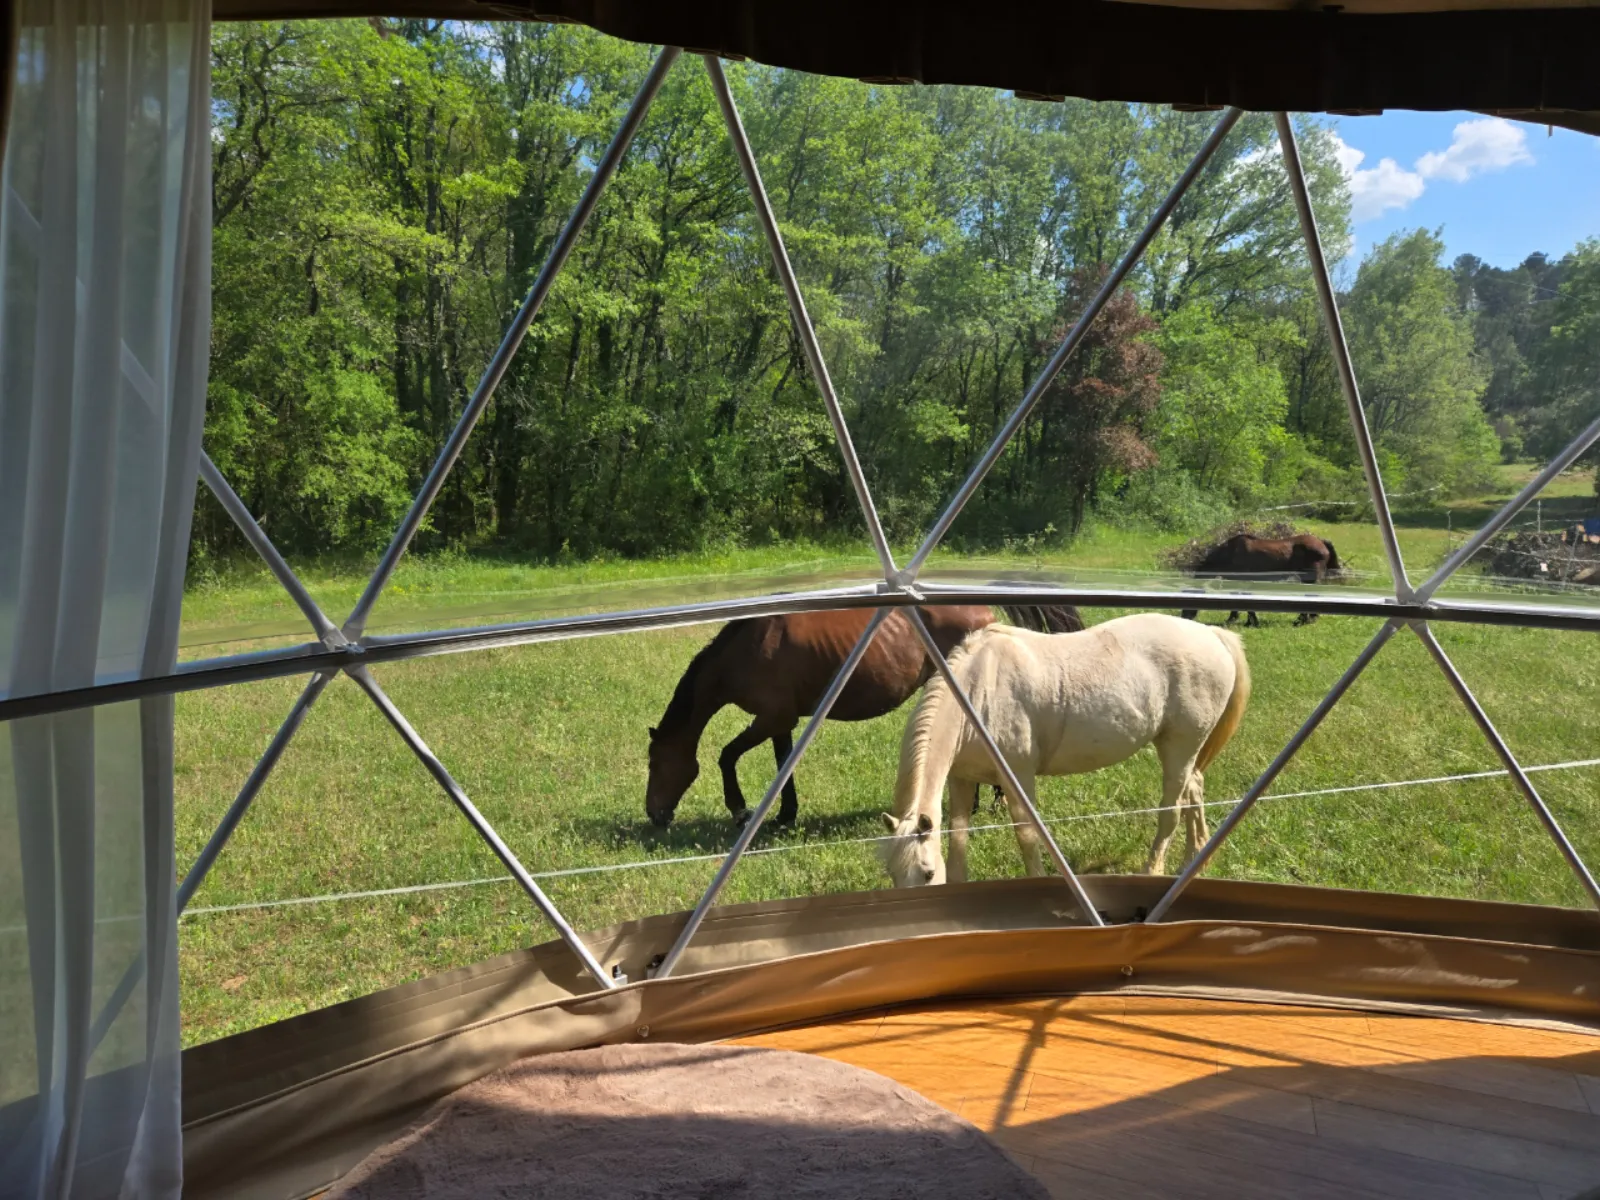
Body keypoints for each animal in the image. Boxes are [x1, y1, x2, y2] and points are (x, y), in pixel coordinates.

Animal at [645, 603, 1083, 828]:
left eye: (655, 763)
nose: (654, 814)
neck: (749, 648)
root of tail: (985, 611)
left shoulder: (770, 719)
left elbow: (726, 756)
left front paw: (740, 809)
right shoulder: (781, 723)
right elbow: (783, 765)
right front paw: (786, 815)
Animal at [877, 613, 1250, 887]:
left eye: (927, 873)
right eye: (893, 873)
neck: (977, 691)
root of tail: (1212, 634)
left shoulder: (1018, 777)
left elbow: (1027, 835)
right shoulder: (962, 779)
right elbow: (958, 834)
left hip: (1179, 747)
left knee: (1171, 810)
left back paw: (1153, 871)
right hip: (1185, 751)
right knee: (1194, 790)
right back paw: (1194, 862)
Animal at [1179, 533, 1340, 628]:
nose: (1184, 617)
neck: (1230, 554)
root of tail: (1321, 542)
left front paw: (1243, 621)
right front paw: (1246, 621)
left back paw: (1303, 620)